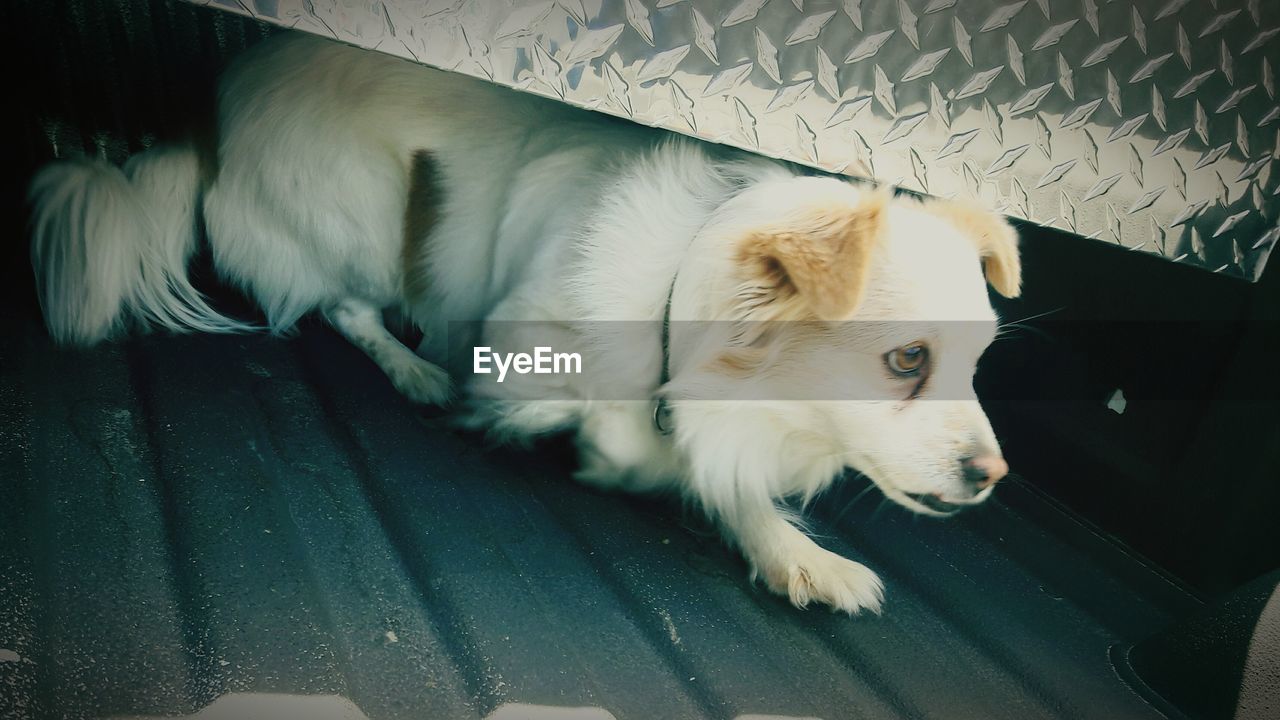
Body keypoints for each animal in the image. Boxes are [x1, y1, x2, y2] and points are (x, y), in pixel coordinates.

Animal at [30, 32, 1018, 609]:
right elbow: (595, 412)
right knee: (343, 305)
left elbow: (719, 471)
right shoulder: (519, 343)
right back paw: (414, 366)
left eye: (976, 367)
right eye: (906, 360)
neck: (675, 288)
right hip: (370, 213)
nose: (993, 477)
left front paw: (790, 551)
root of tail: (215, 106)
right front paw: (607, 447)